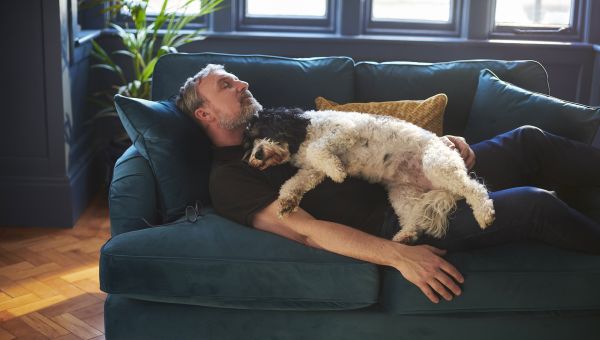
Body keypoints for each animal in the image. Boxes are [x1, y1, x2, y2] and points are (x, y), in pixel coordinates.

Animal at [244, 107, 496, 243]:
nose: (256, 155)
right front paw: (287, 202)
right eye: (248, 143)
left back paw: (484, 214)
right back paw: (405, 236)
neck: (304, 133)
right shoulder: (311, 170)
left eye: (262, 131)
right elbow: (293, 183)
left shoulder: (344, 131)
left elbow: (319, 149)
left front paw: (338, 172)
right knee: (413, 219)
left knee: (474, 189)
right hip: (403, 193)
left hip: (437, 163)